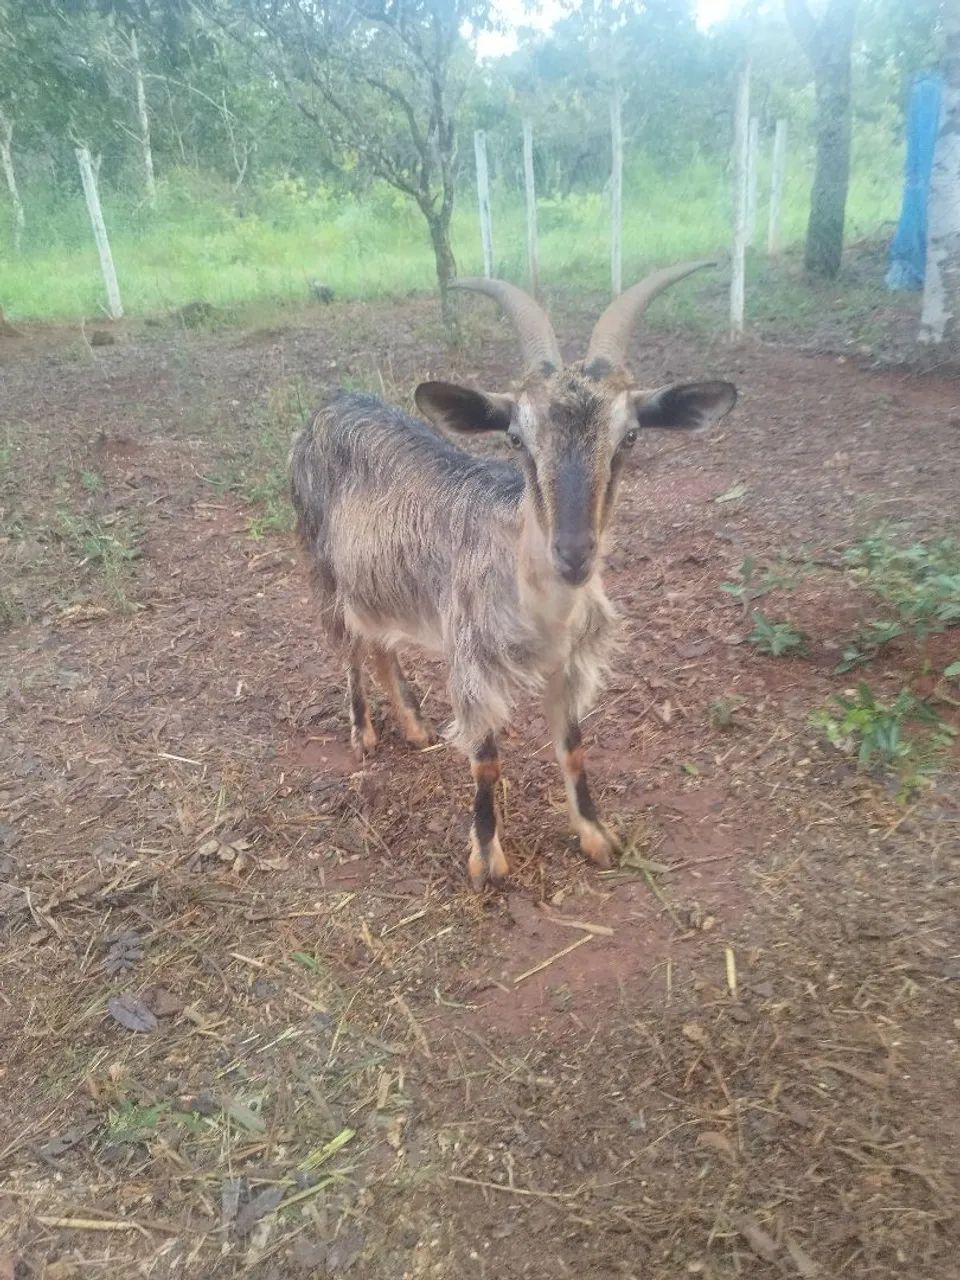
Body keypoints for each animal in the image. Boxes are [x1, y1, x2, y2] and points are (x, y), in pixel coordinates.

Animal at [290, 261, 737, 888]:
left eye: (629, 436)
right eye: (515, 436)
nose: (573, 554)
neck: (541, 607)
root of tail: (329, 402)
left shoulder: (568, 665)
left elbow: (572, 747)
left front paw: (596, 836)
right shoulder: (473, 660)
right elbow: (486, 758)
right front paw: (485, 860)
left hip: (381, 580)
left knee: (379, 642)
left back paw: (414, 726)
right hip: (322, 562)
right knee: (348, 645)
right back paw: (363, 734)